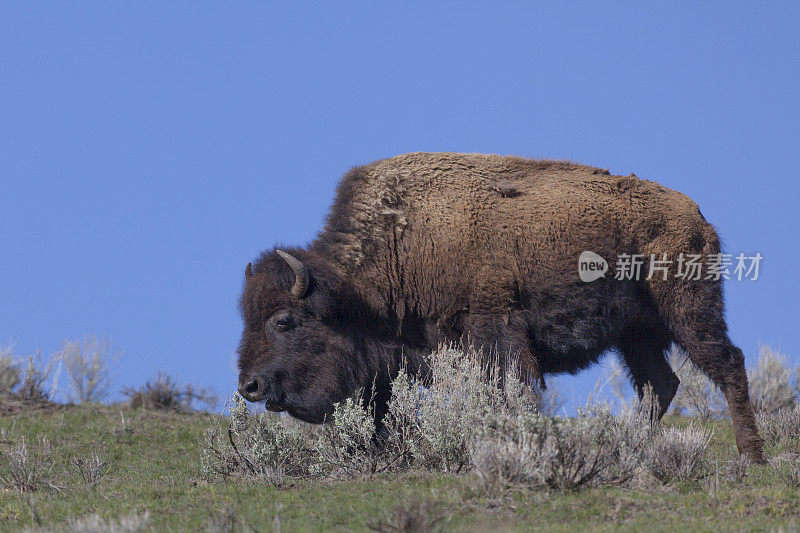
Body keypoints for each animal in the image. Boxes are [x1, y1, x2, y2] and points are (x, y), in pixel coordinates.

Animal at [239, 151, 768, 462]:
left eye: (284, 321)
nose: (250, 386)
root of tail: (696, 216)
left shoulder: (495, 328)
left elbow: (512, 392)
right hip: (634, 335)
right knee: (661, 383)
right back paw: (630, 446)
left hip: (687, 310)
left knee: (726, 362)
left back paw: (750, 458)